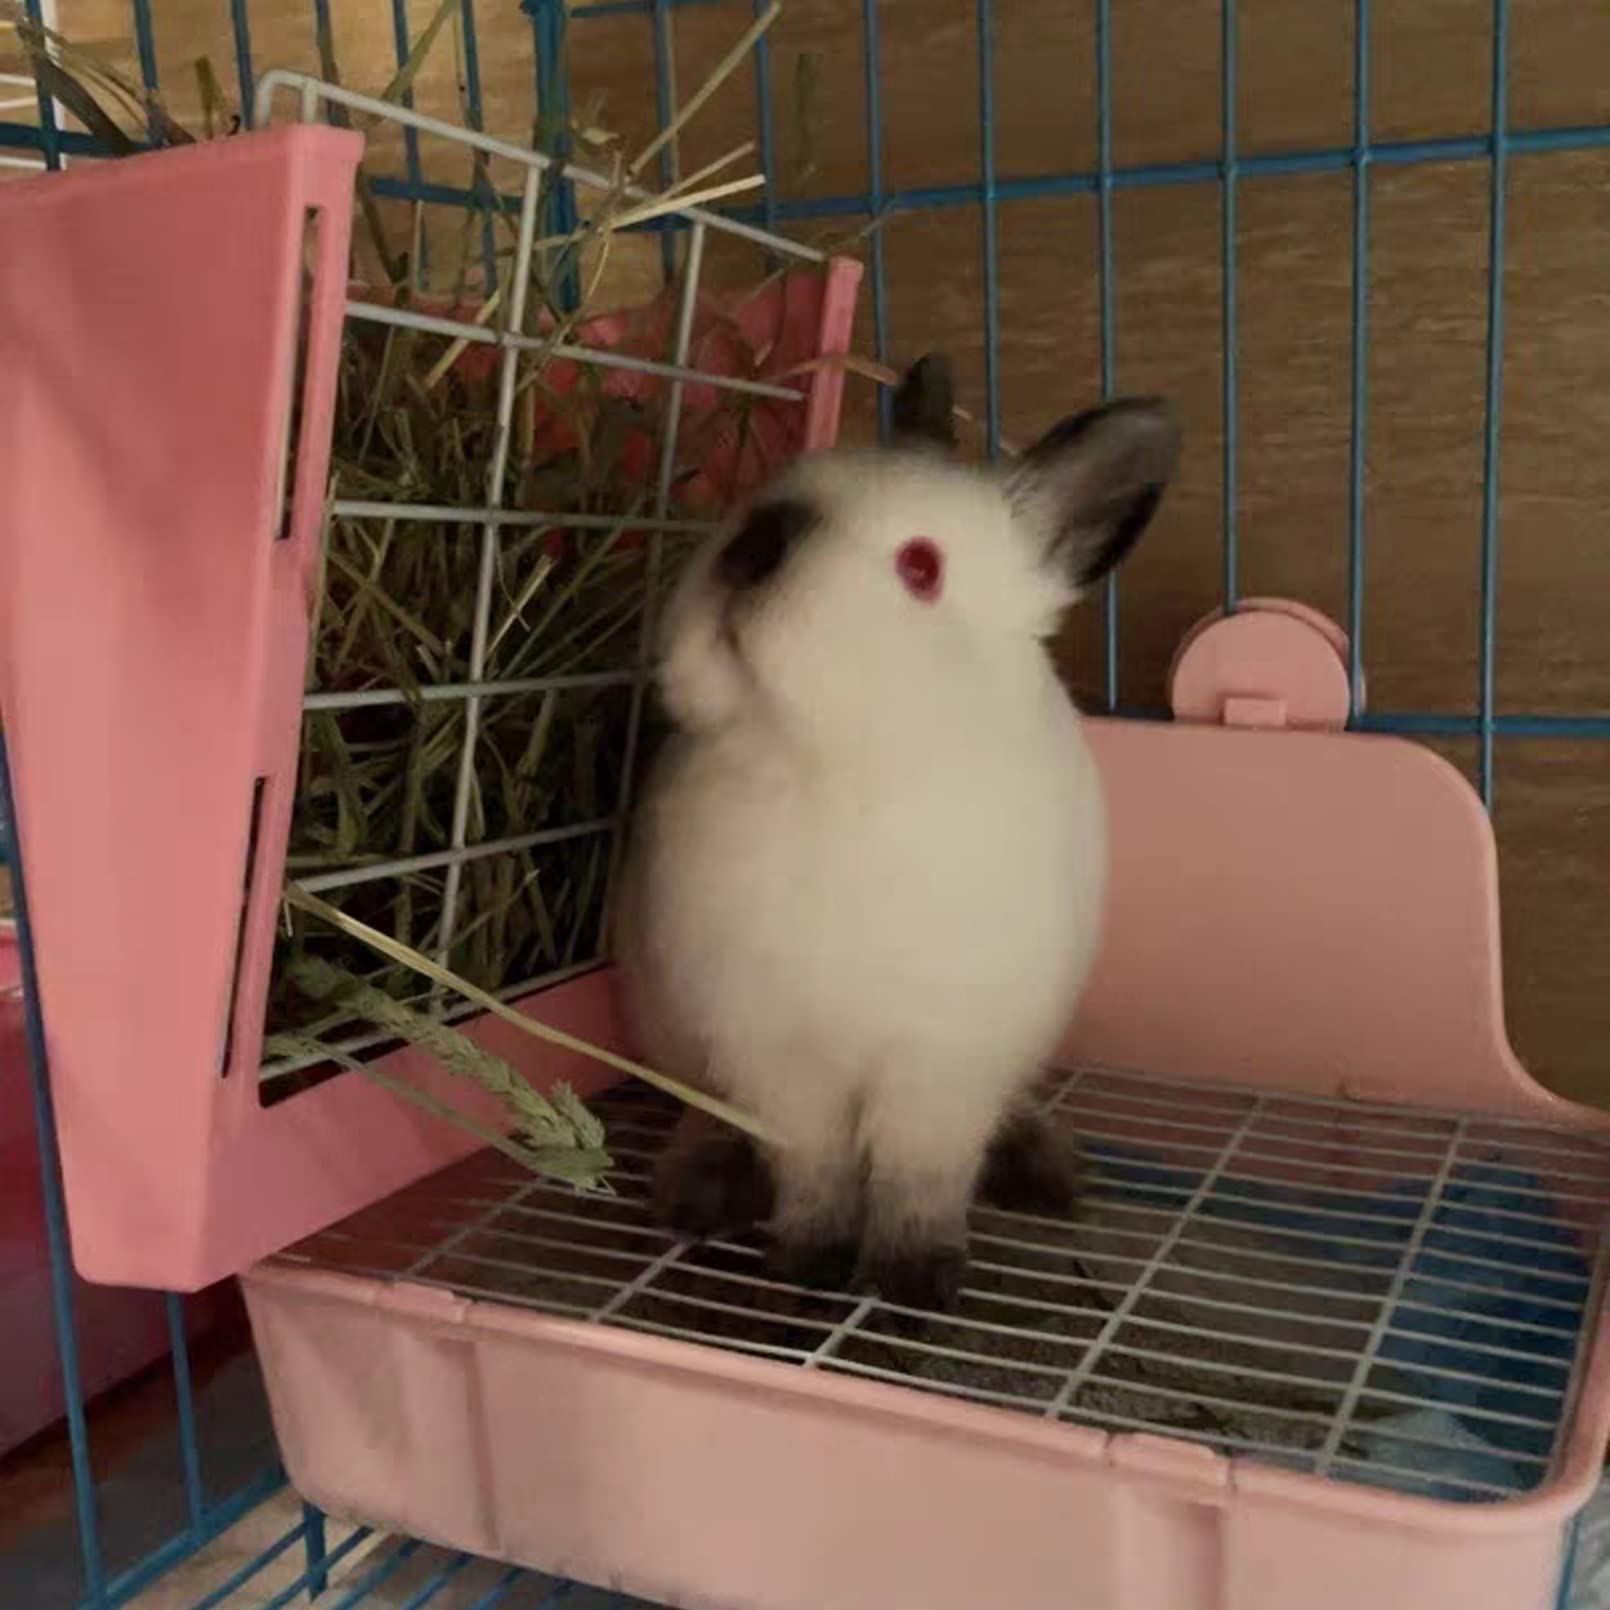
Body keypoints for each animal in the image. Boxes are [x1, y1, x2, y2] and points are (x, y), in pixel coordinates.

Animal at [614, 355, 1180, 1311]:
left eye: (922, 567)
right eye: (766, 493)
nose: (758, 544)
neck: (835, 769)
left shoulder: (939, 1067)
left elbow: (920, 1180)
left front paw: (913, 1285)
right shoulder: (777, 1056)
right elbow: (814, 1172)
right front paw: (807, 1270)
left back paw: (1045, 1173)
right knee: (701, 1113)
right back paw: (697, 1191)